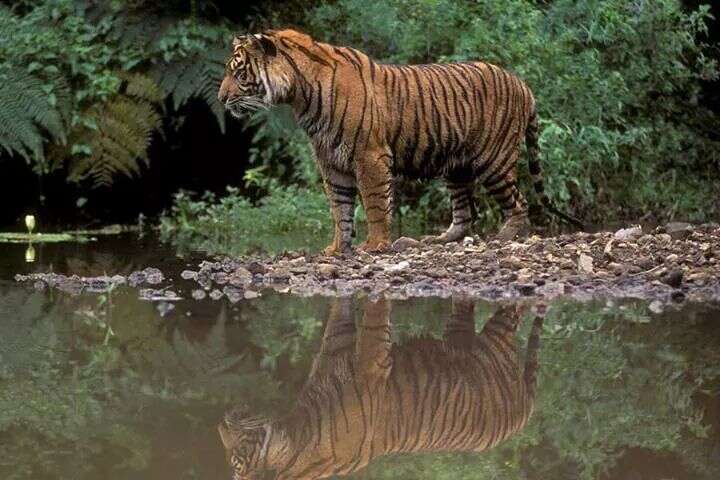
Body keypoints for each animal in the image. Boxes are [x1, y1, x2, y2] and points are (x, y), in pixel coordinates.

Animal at [217, 296, 544, 480]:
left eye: (237, 459)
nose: (220, 423)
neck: (297, 435)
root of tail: (525, 415)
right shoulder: (349, 354)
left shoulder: (360, 355)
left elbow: (367, 315)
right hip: (480, 338)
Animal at [218, 29, 580, 255]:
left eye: (239, 73)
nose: (221, 99)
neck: (300, 94)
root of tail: (523, 84)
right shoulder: (332, 162)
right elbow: (339, 208)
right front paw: (337, 249)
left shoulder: (368, 156)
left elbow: (375, 203)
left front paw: (375, 245)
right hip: (456, 166)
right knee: (466, 212)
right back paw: (440, 240)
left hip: (494, 160)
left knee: (519, 203)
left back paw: (505, 237)